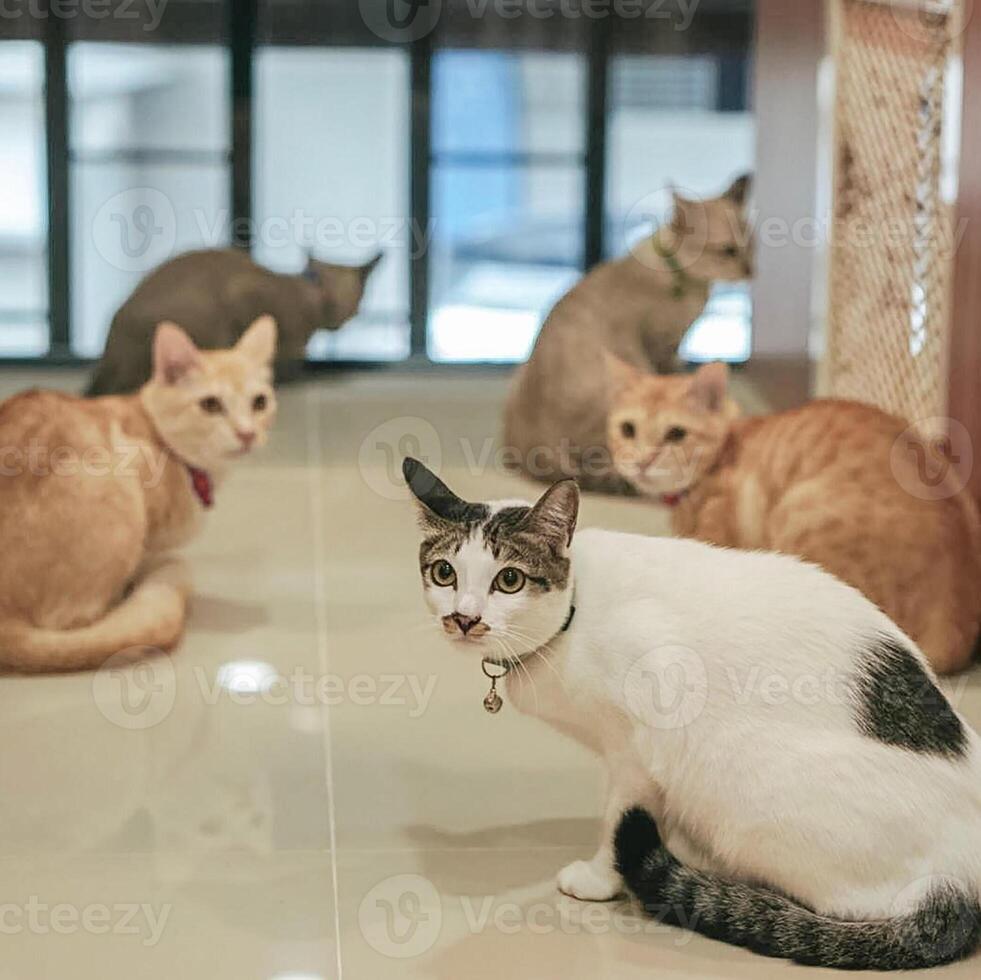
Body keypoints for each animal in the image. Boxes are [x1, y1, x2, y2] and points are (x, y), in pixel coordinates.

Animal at [400, 456, 980, 968]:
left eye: (510, 580)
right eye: (445, 573)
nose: (464, 619)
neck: (575, 612)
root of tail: (961, 876)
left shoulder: (635, 748)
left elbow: (618, 820)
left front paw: (600, 880)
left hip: (746, 787)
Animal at [502, 173, 756, 494]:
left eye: (753, 245)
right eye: (728, 251)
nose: (751, 270)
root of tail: (531, 451)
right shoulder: (663, 345)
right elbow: (675, 377)